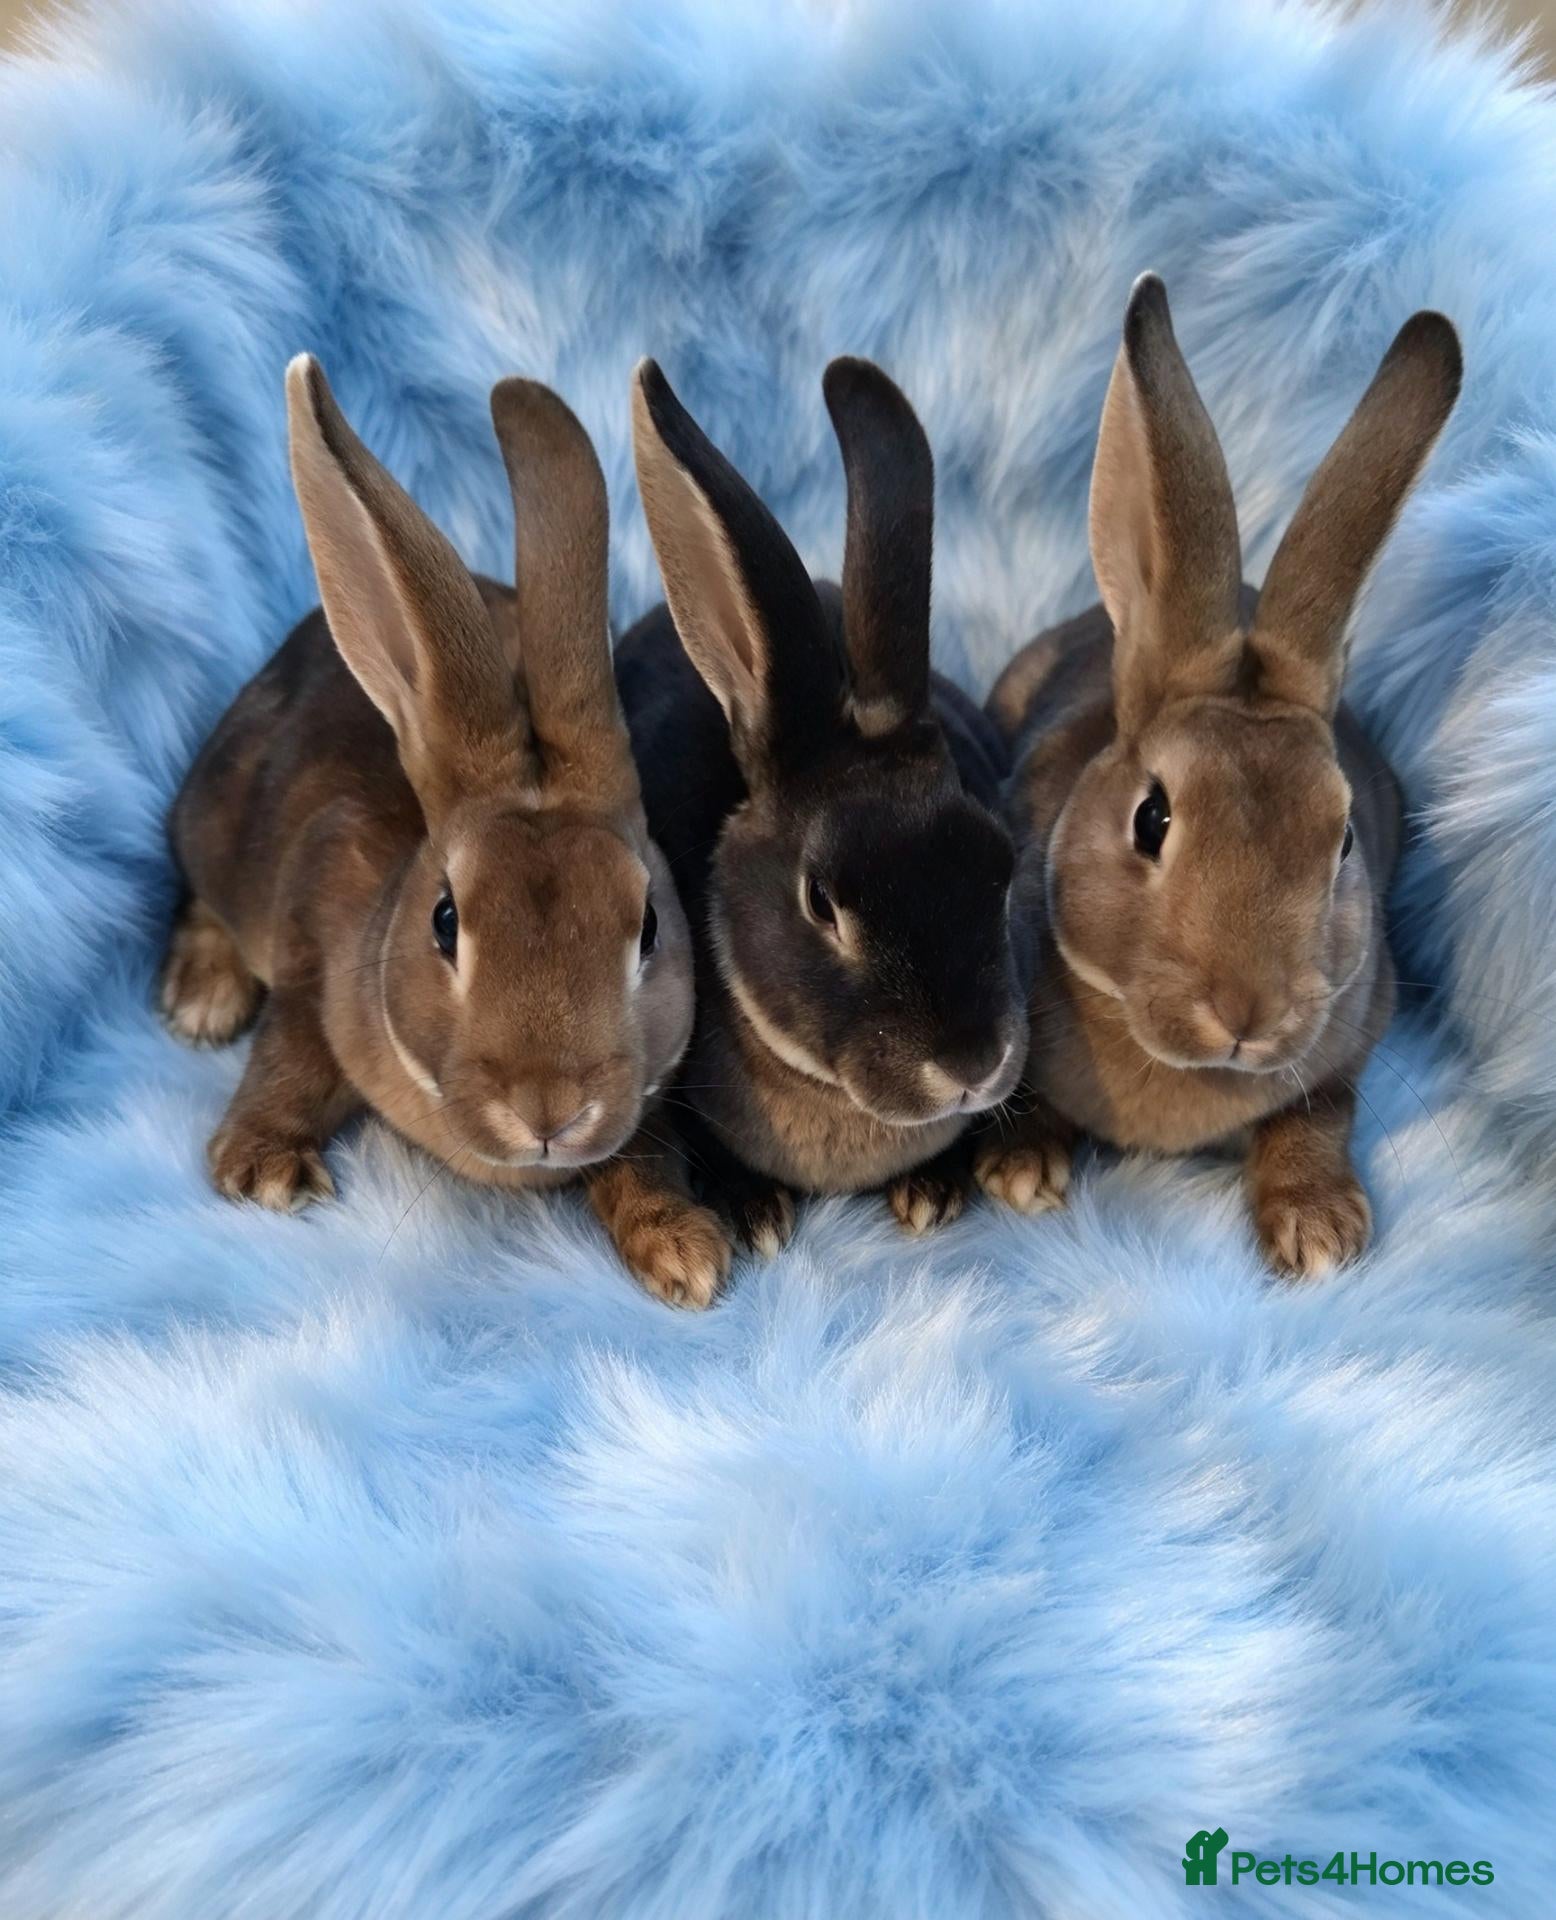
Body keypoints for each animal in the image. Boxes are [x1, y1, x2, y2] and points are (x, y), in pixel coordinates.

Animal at [160, 356, 732, 1308]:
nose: (550, 1108)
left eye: (649, 926)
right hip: (215, 819)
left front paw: (683, 1250)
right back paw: (200, 999)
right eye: (446, 921)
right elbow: (292, 1055)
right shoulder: (313, 950)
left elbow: (643, 1159)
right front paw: (263, 1166)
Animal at [984, 273, 1462, 1277]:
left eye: (1343, 840)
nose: (1248, 1012)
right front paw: (1020, 1170)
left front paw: (1319, 1229)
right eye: (1151, 820)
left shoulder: (1348, 1040)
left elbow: (1316, 1114)